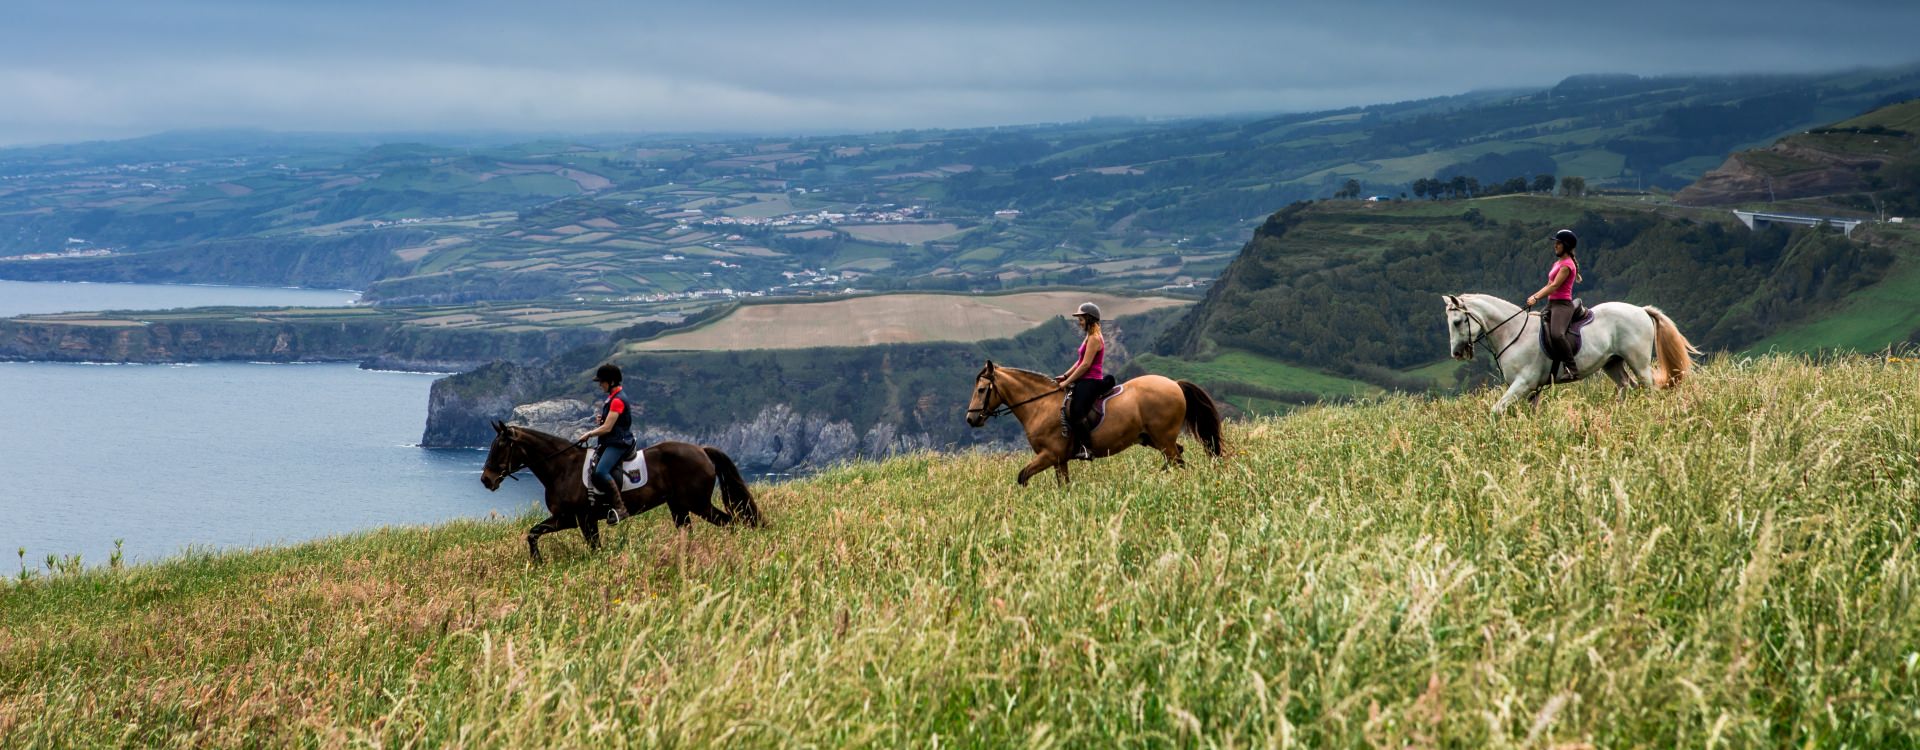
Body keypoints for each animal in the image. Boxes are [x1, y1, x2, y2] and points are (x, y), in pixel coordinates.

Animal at [476, 421, 760, 563]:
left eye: (500, 447)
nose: (486, 479)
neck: (562, 468)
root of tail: (702, 450)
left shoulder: (582, 519)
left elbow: (594, 548)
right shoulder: (567, 519)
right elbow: (533, 533)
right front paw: (537, 562)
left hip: (698, 503)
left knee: (730, 522)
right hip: (679, 506)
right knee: (689, 532)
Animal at [1443, 293, 1697, 414]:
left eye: (1457, 322)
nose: (1457, 353)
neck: (1513, 332)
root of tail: (1641, 310)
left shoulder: (1523, 384)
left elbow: (1496, 410)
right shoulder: (1532, 389)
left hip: (1639, 362)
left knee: (1648, 387)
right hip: (1612, 363)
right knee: (1627, 385)